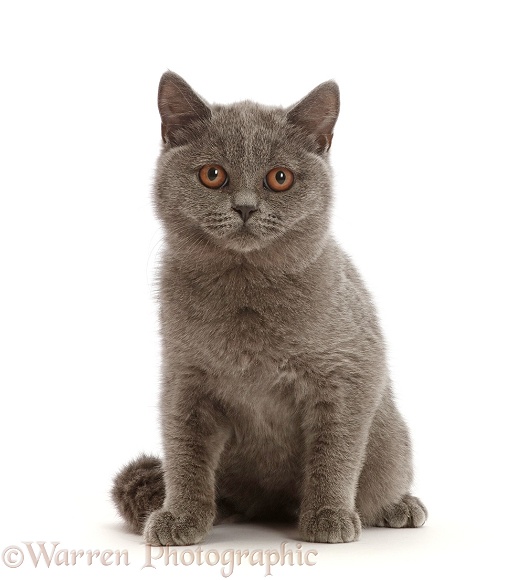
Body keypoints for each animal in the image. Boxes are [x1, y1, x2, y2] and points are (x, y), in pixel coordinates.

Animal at [110, 71, 424, 544]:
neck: (246, 293)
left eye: (280, 178)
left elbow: (335, 451)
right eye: (212, 174)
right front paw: (181, 516)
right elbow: (185, 453)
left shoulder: (349, 374)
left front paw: (329, 515)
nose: (245, 207)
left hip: (391, 441)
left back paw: (399, 507)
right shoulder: (185, 378)